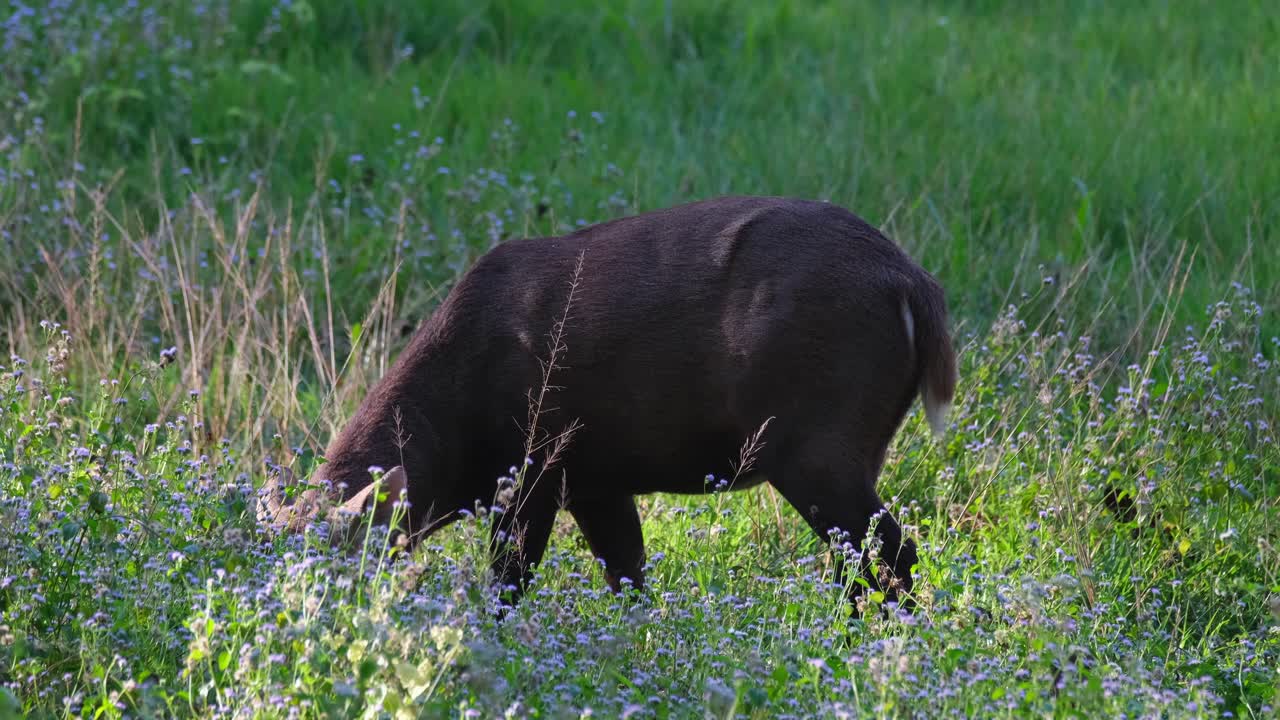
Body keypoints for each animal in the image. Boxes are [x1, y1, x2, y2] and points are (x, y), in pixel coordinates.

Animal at [260, 195, 957, 612]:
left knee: (887, 554)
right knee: (864, 558)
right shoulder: (596, 479)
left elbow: (509, 579)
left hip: (816, 441)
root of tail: (914, 285)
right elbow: (628, 574)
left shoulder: (535, 465)